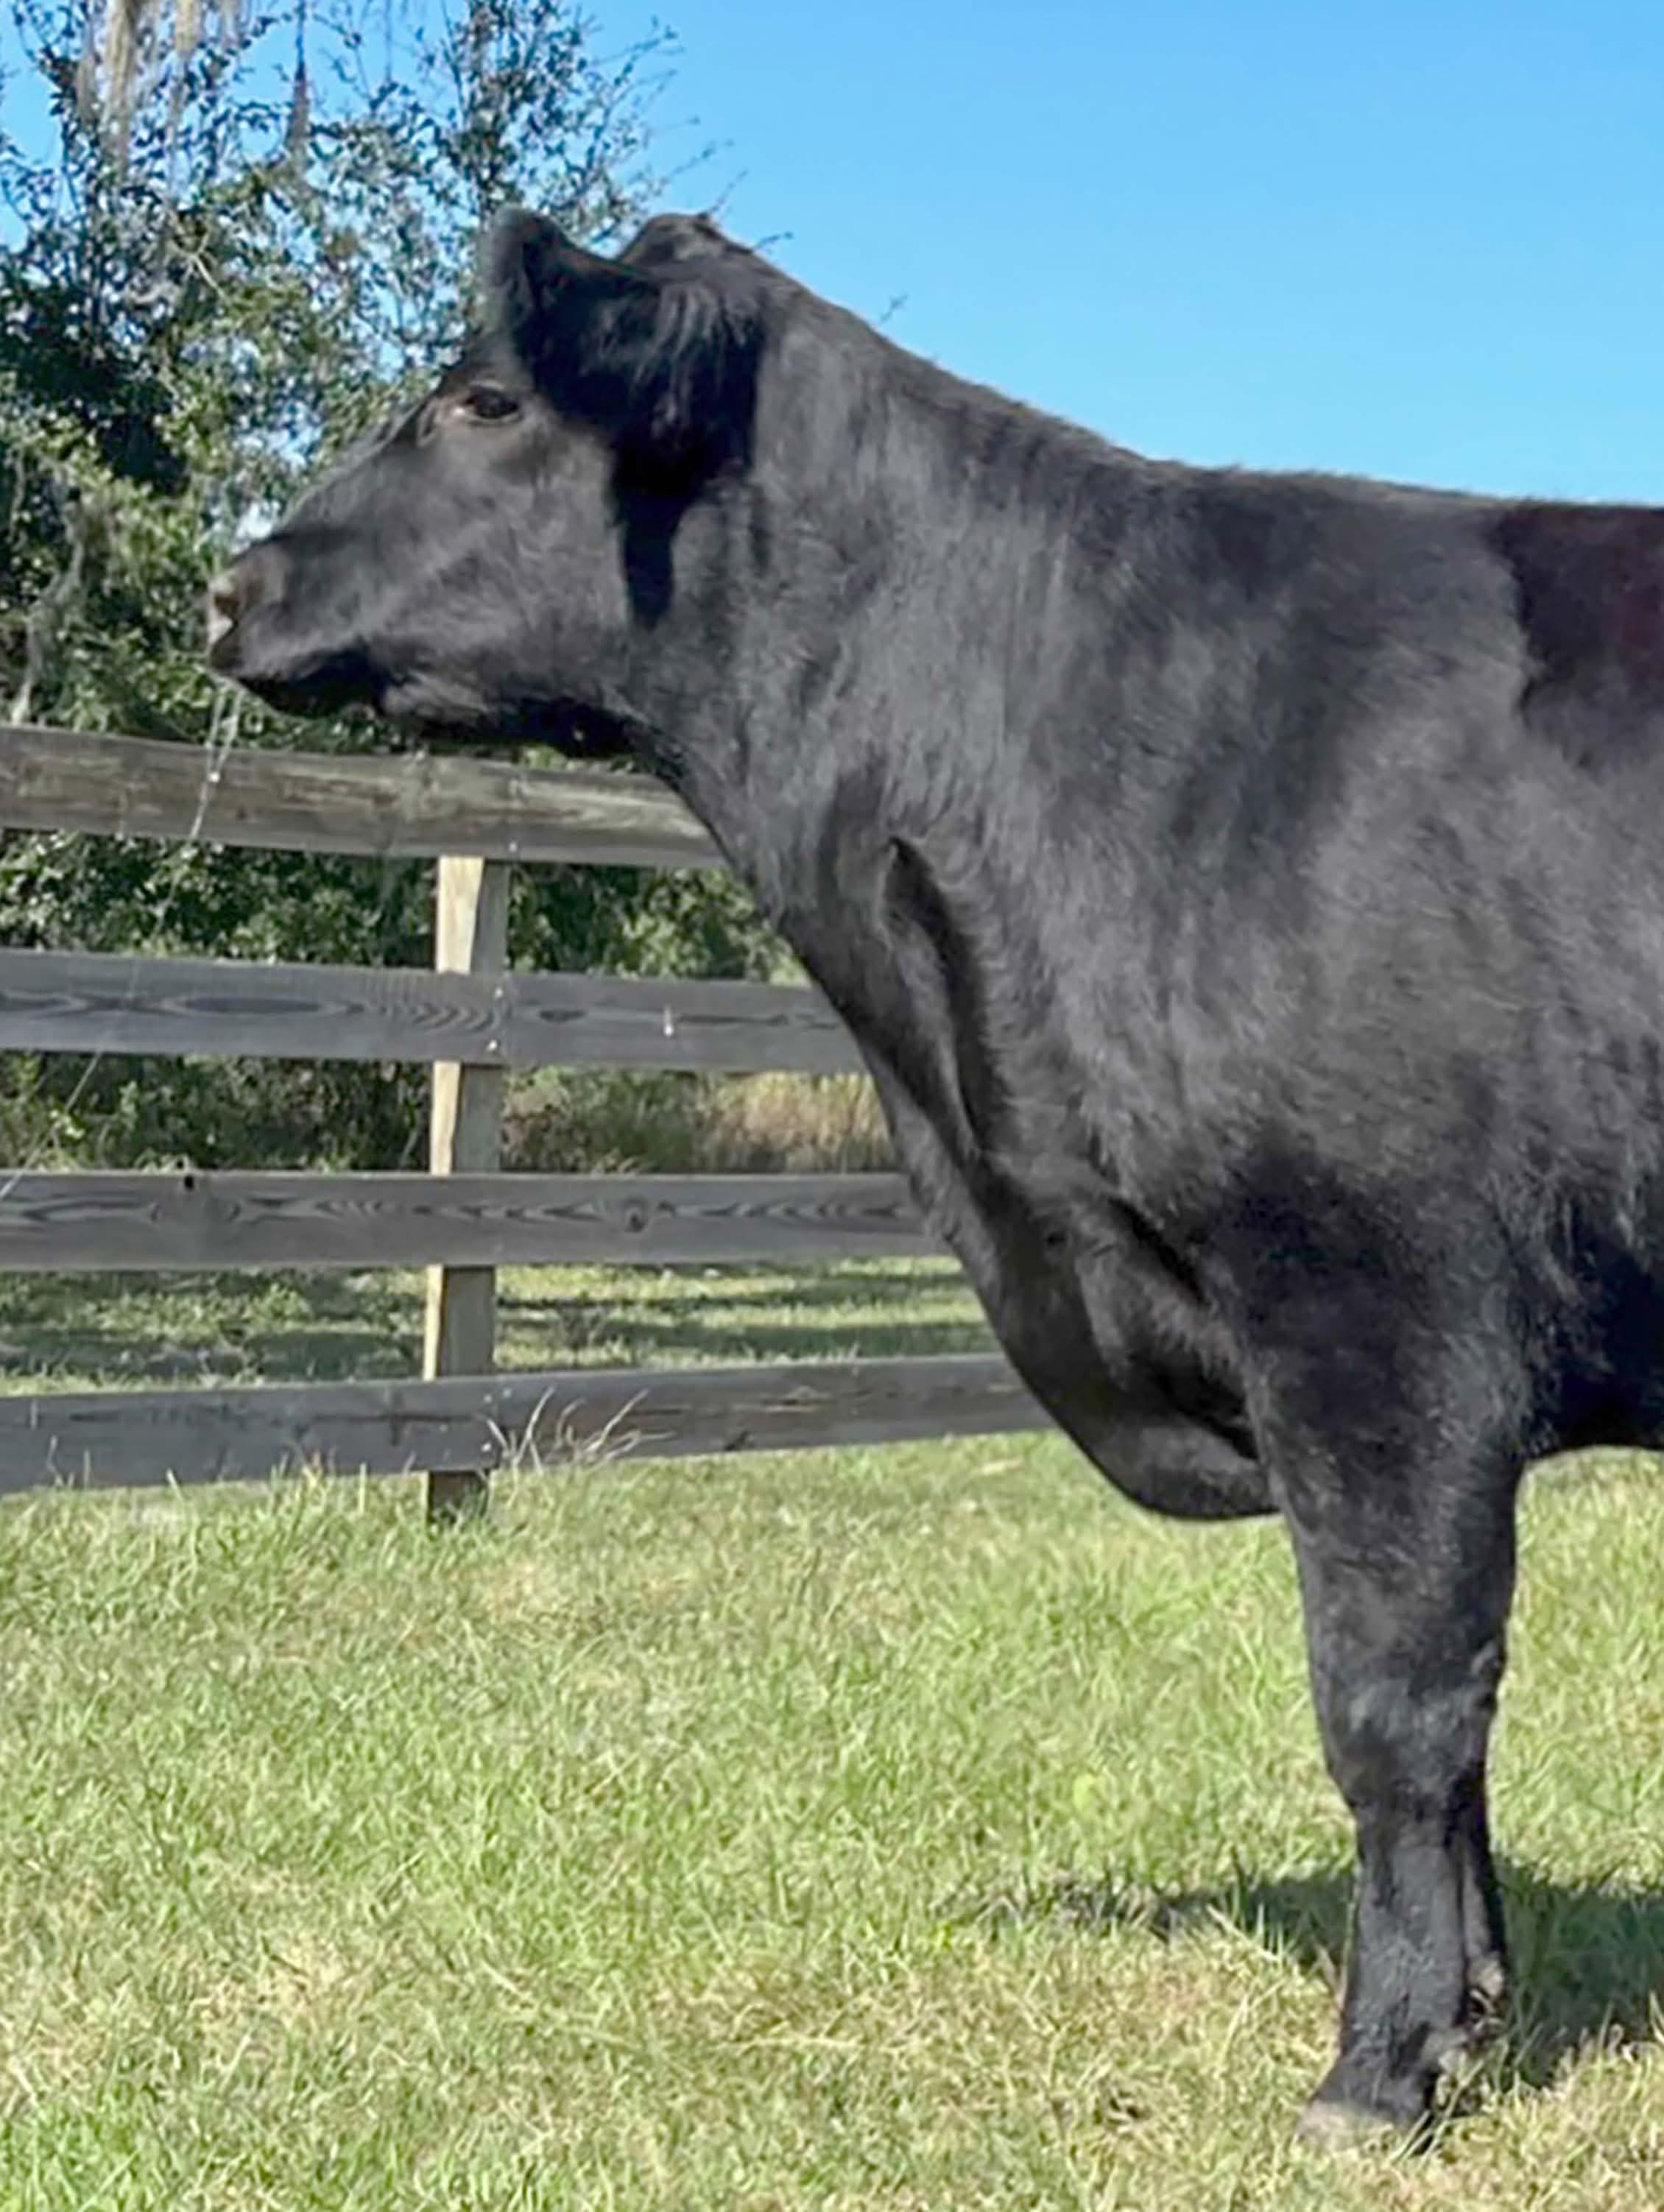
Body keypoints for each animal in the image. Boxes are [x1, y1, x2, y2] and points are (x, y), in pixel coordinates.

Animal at [207, 207, 1664, 2142]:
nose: (234, 586)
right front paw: (1473, 2012)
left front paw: (1375, 2069)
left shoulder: (1375, 1311)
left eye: (482, 396)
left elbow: (1393, 1700)